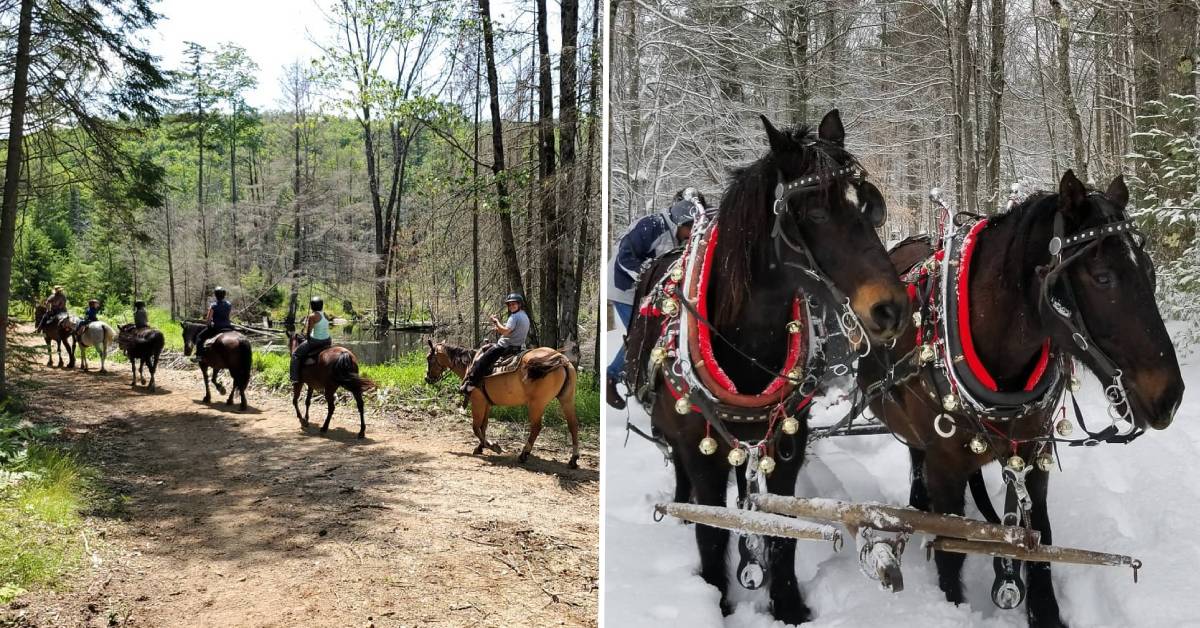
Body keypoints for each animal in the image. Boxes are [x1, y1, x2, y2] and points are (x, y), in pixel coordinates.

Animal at [859, 171, 1185, 628]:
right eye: (1102, 276)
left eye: (1151, 272)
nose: (1170, 396)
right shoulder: (944, 467)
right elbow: (950, 552)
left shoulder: (1032, 454)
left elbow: (1039, 539)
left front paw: (1044, 610)